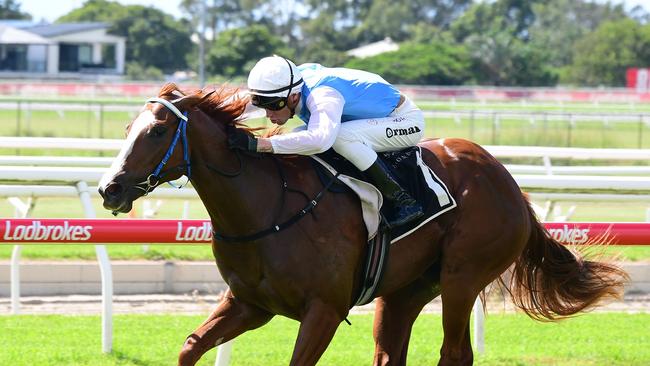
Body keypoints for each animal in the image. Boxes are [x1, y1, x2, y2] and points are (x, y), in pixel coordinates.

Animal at [98, 83, 624, 366]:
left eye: (158, 130)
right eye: (126, 129)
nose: (109, 189)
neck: (268, 209)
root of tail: (510, 183)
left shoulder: (324, 310)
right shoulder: (250, 304)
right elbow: (189, 348)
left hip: (463, 276)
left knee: (455, 352)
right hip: (405, 291)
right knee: (392, 352)